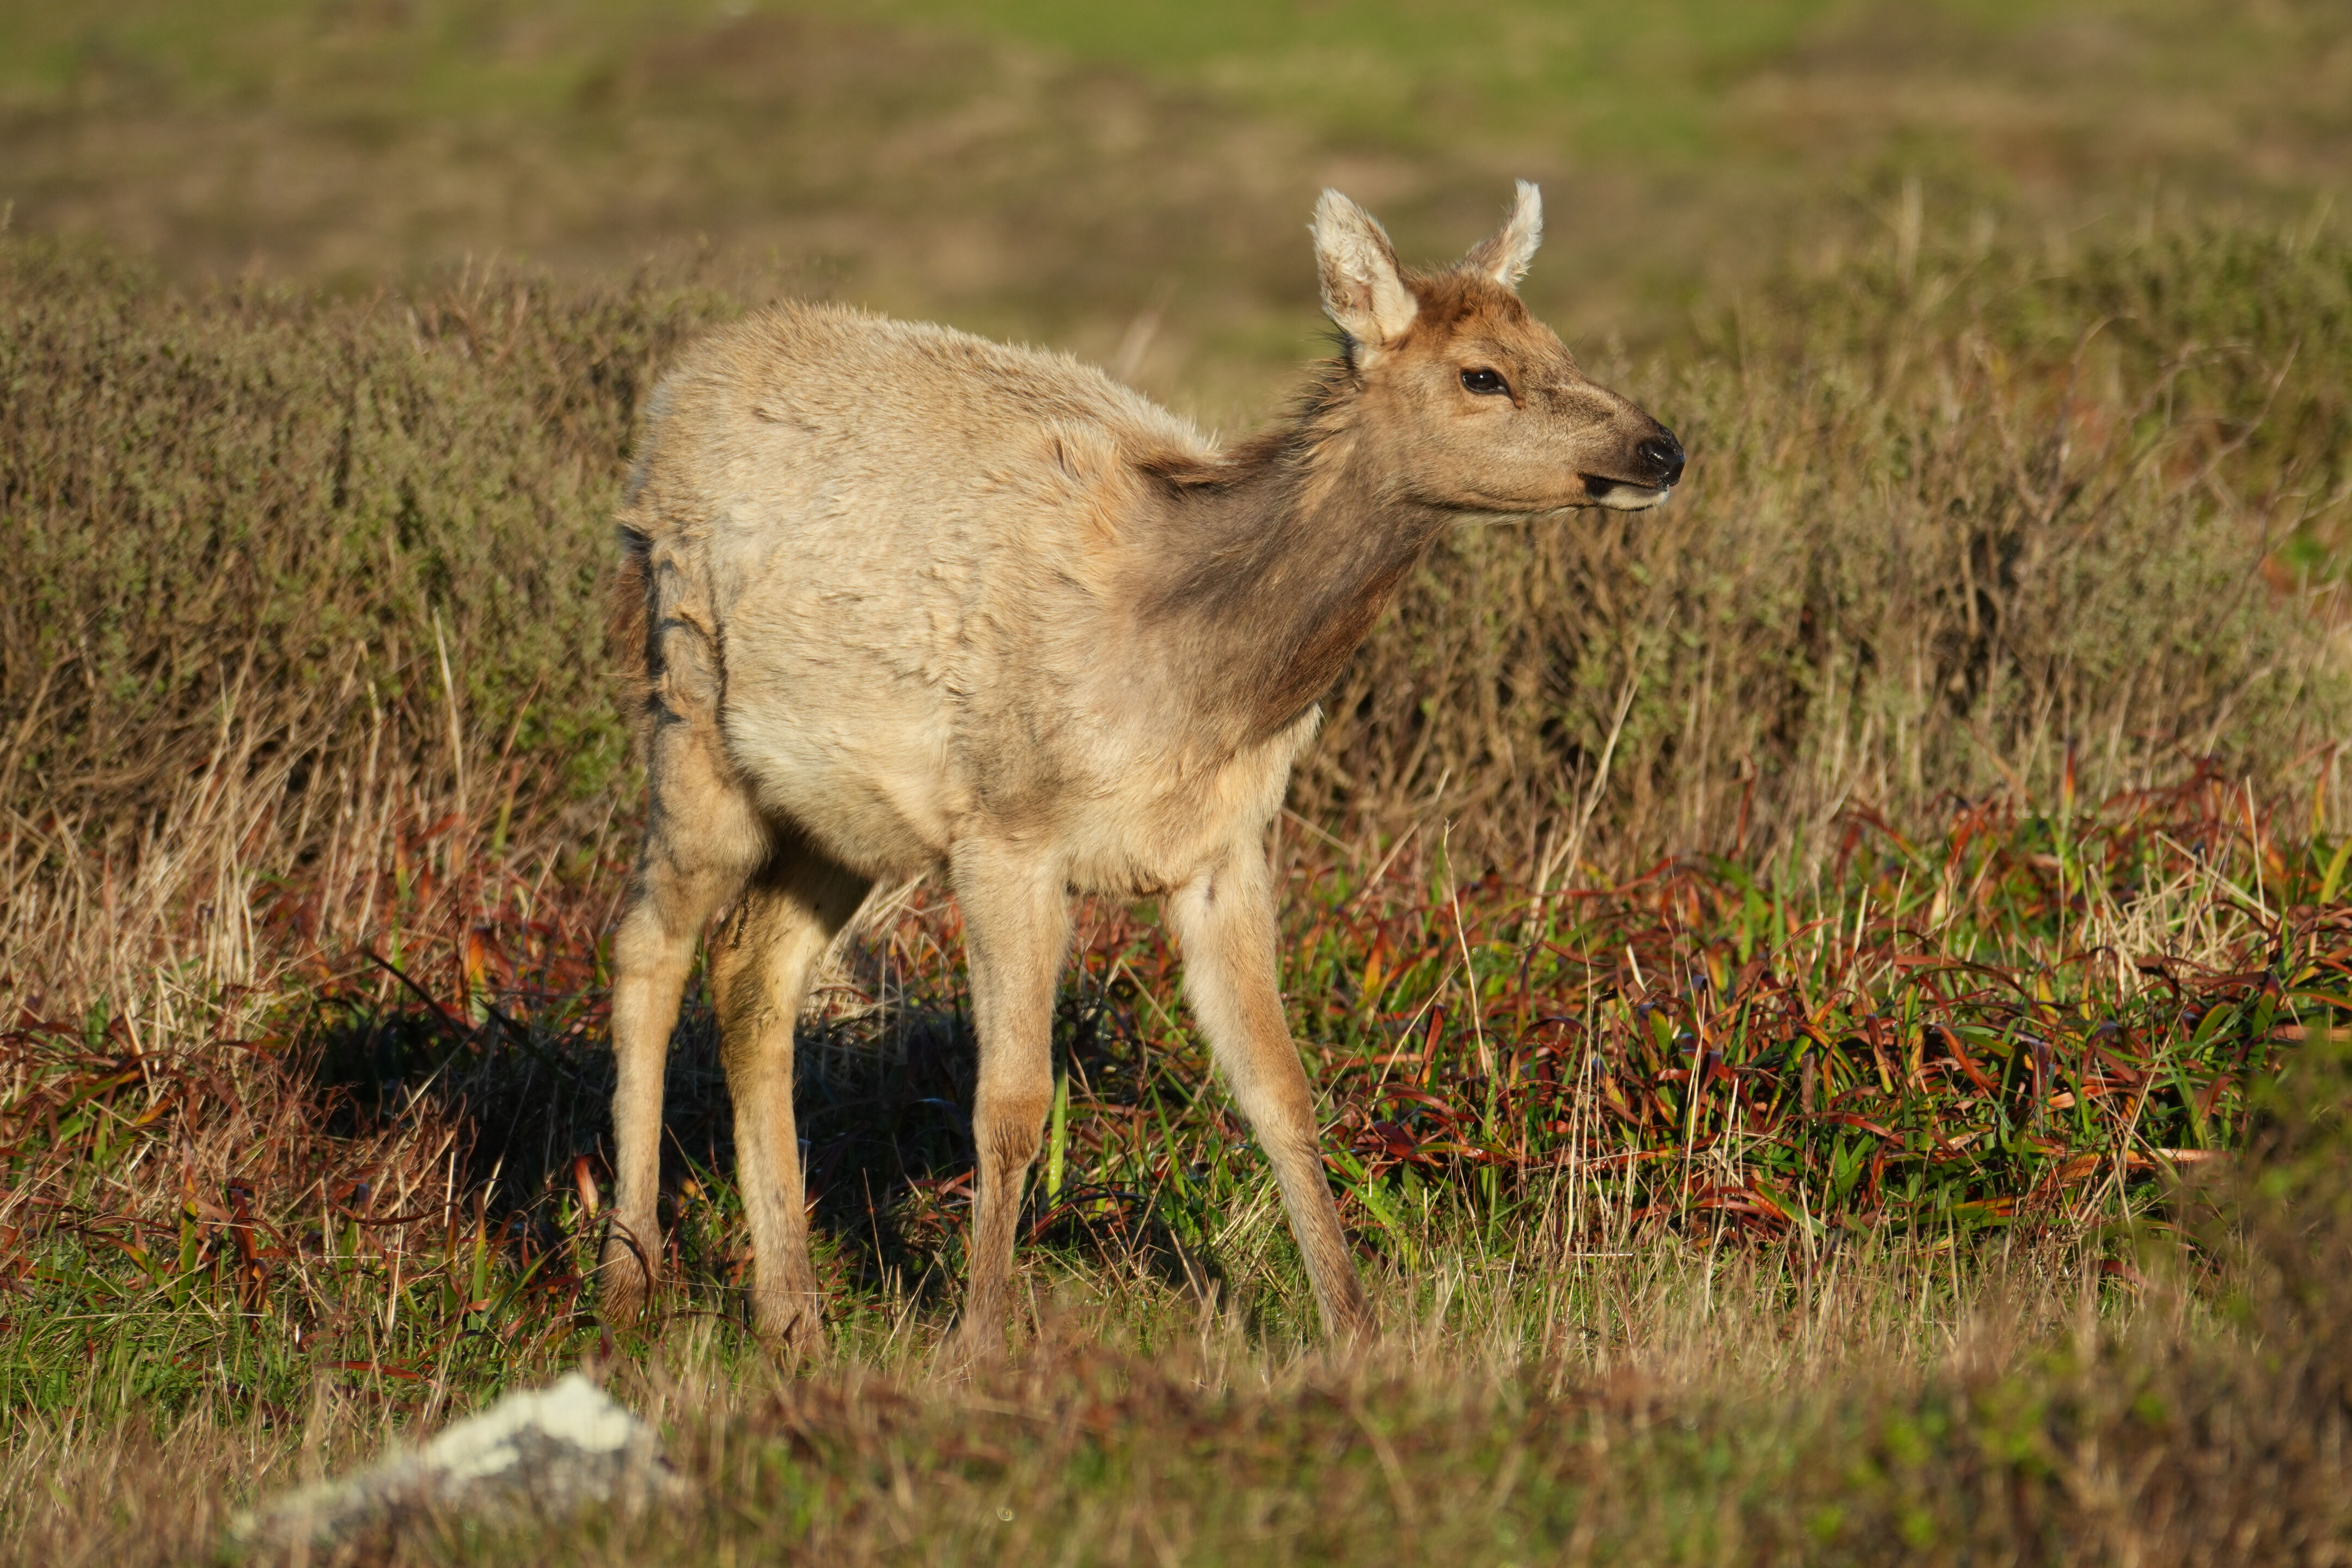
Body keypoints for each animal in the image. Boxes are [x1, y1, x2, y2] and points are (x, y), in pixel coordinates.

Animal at [598, 182, 1684, 1361]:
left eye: (1558, 342)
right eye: (1483, 374)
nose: (1662, 448)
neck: (1197, 679)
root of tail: (672, 394)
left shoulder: (1224, 851)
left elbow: (1279, 1088)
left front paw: (1356, 1328)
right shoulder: (1009, 830)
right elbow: (1011, 1105)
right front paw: (980, 1339)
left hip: (837, 817)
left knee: (752, 969)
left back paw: (791, 1309)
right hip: (689, 718)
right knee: (647, 944)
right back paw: (627, 1273)